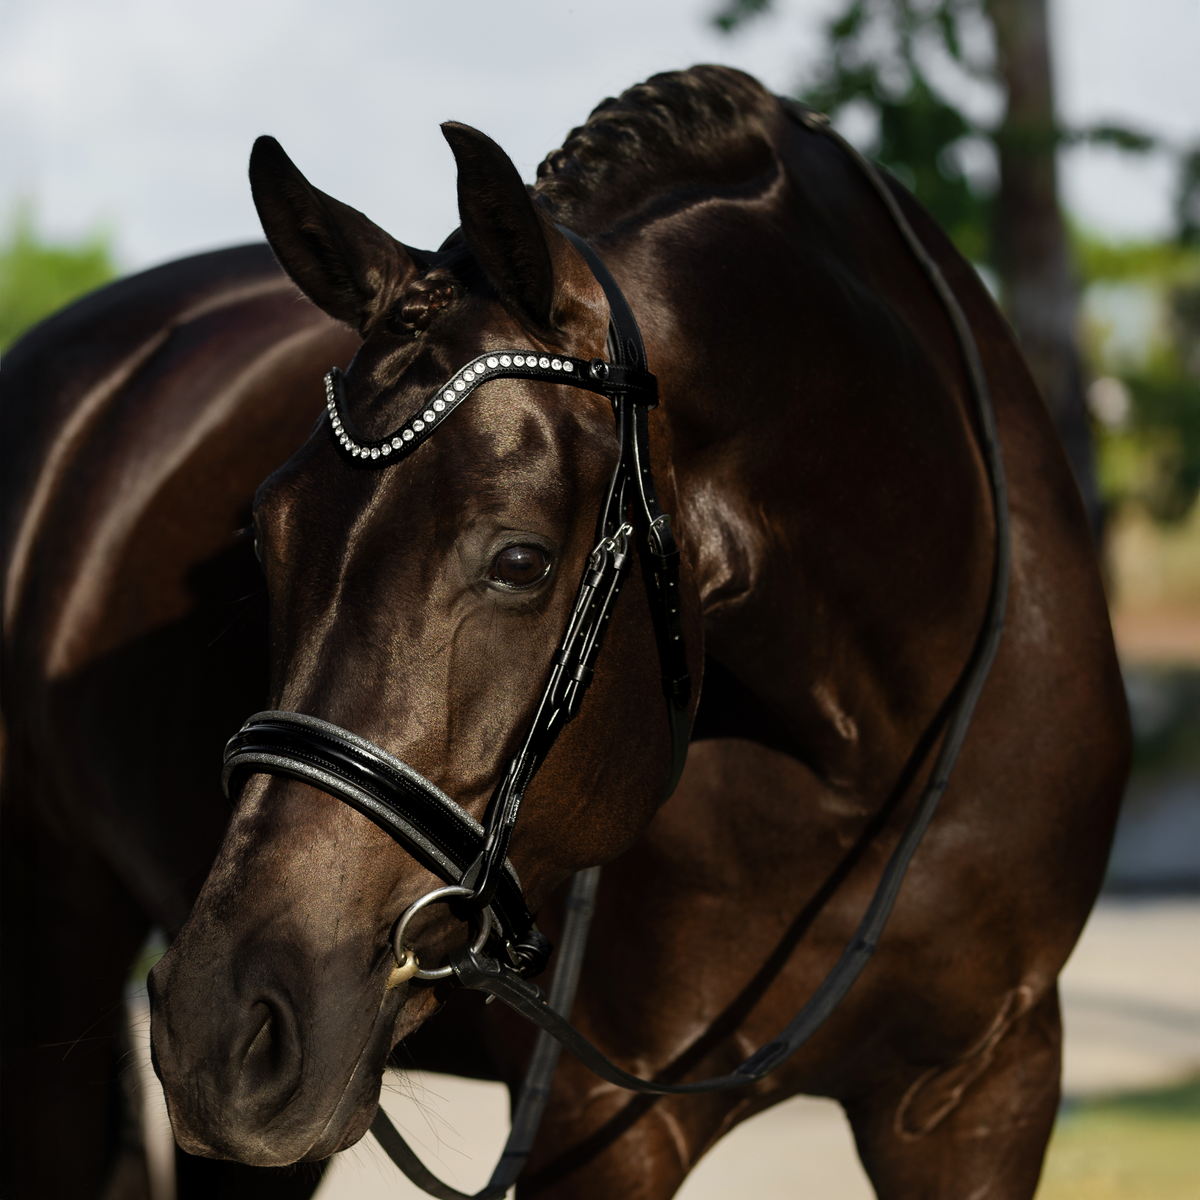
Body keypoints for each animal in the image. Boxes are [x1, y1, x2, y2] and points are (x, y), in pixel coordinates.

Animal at [1, 65, 1128, 1199]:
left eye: (520, 562)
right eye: (266, 539)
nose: (220, 1026)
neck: (865, 747)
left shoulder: (983, 1089)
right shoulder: (600, 1119)